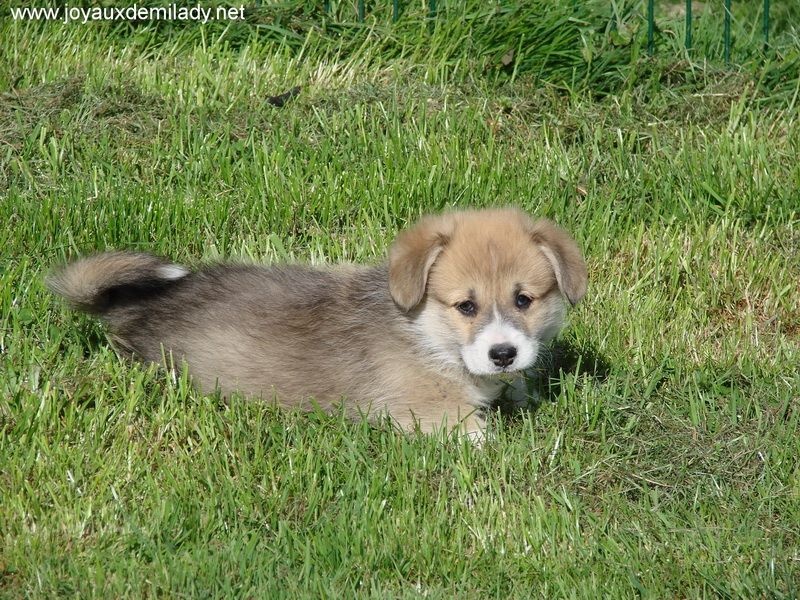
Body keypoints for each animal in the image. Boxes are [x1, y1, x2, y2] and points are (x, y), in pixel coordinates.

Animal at [50, 210, 588, 440]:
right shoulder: (438, 416)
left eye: (523, 300)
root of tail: (137, 306)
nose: (503, 354)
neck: (424, 336)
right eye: (466, 307)